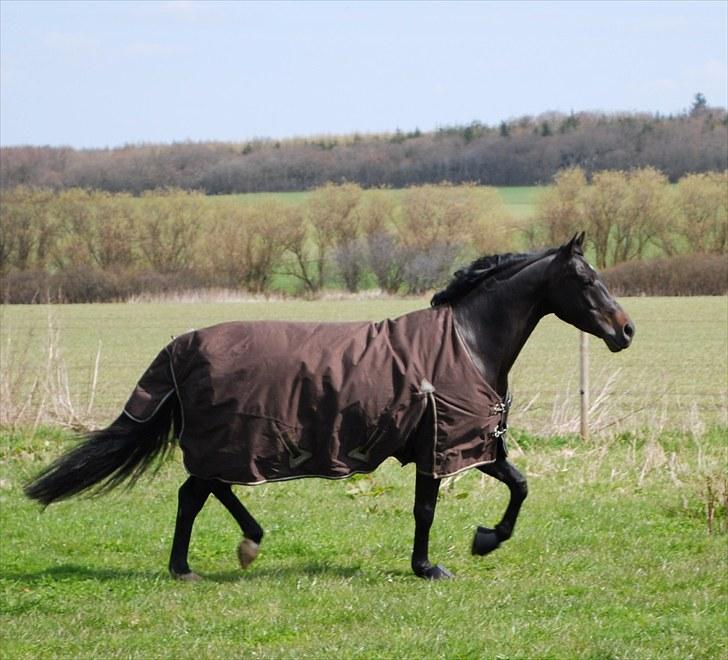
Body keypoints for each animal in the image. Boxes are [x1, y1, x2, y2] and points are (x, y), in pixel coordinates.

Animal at [25, 231, 636, 576]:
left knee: (202, 491)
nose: (626, 331)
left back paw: (227, 551)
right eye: (586, 278)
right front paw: (428, 567)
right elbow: (426, 509)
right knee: (198, 493)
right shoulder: (440, 445)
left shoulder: (475, 443)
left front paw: (485, 541)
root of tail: (182, 344)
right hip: (230, 440)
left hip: (226, 444)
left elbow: (520, 485)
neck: (468, 342)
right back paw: (206, 560)